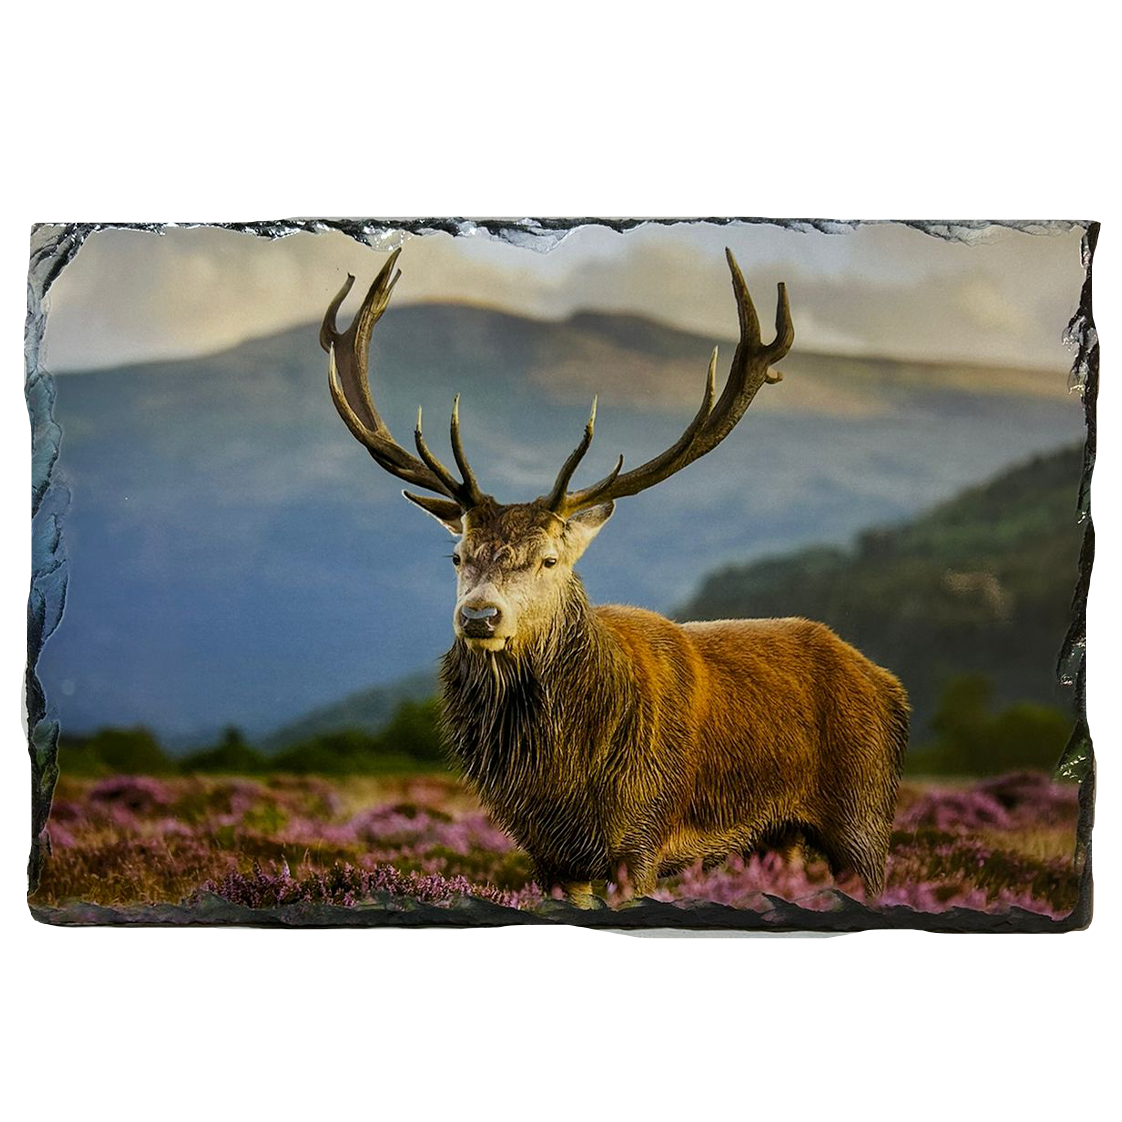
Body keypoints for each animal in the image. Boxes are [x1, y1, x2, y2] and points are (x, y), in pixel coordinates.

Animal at [320, 246, 910, 908]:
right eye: (457, 556)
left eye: (551, 560)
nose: (479, 615)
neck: (561, 780)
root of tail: (887, 684)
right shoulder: (548, 853)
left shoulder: (643, 835)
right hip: (776, 838)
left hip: (862, 817)